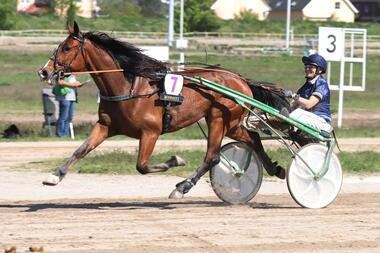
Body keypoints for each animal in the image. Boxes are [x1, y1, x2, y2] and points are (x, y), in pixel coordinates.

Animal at [38, 21, 290, 199]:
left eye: (67, 48)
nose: (44, 71)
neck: (128, 87)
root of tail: (241, 79)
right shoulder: (106, 126)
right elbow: (81, 150)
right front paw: (55, 176)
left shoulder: (151, 132)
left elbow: (141, 166)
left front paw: (175, 160)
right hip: (232, 123)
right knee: (253, 139)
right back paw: (275, 169)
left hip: (218, 118)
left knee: (212, 156)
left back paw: (182, 187)